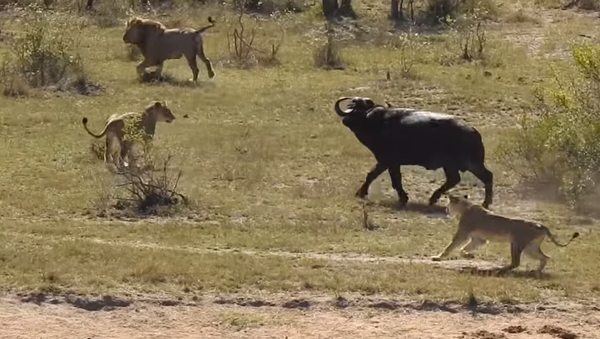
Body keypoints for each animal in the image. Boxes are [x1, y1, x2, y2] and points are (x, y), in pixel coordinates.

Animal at [332, 96, 492, 210]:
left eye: (356, 107)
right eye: (352, 105)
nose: (345, 120)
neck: (376, 122)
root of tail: (473, 132)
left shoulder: (387, 161)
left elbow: (384, 177)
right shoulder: (389, 162)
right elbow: (380, 176)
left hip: (470, 164)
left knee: (487, 176)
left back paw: (485, 203)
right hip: (452, 166)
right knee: (455, 179)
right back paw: (433, 198)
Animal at [432, 195, 580, 278]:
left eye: (448, 204)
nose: (446, 210)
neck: (465, 207)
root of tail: (541, 225)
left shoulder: (463, 233)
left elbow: (450, 247)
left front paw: (437, 258)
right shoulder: (479, 240)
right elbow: (464, 249)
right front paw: (469, 256)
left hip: (516, 243)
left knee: (516, 262)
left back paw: (499, 271)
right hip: (530, 248)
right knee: (545, 257)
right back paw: (536, 273)